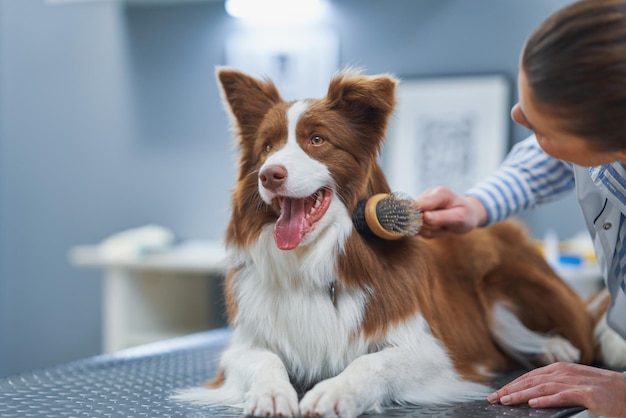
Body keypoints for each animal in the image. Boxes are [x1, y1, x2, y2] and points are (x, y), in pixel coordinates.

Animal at [174, 68, 624, 418]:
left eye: (317, 140)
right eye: (267, 146)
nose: (270, 174)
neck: (312, 258)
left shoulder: (432, 352)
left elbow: (372, 363)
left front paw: (335, 391)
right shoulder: (243, 347)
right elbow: (264, 360)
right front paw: (271, 394)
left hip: (499, 278)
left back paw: (553, 347)